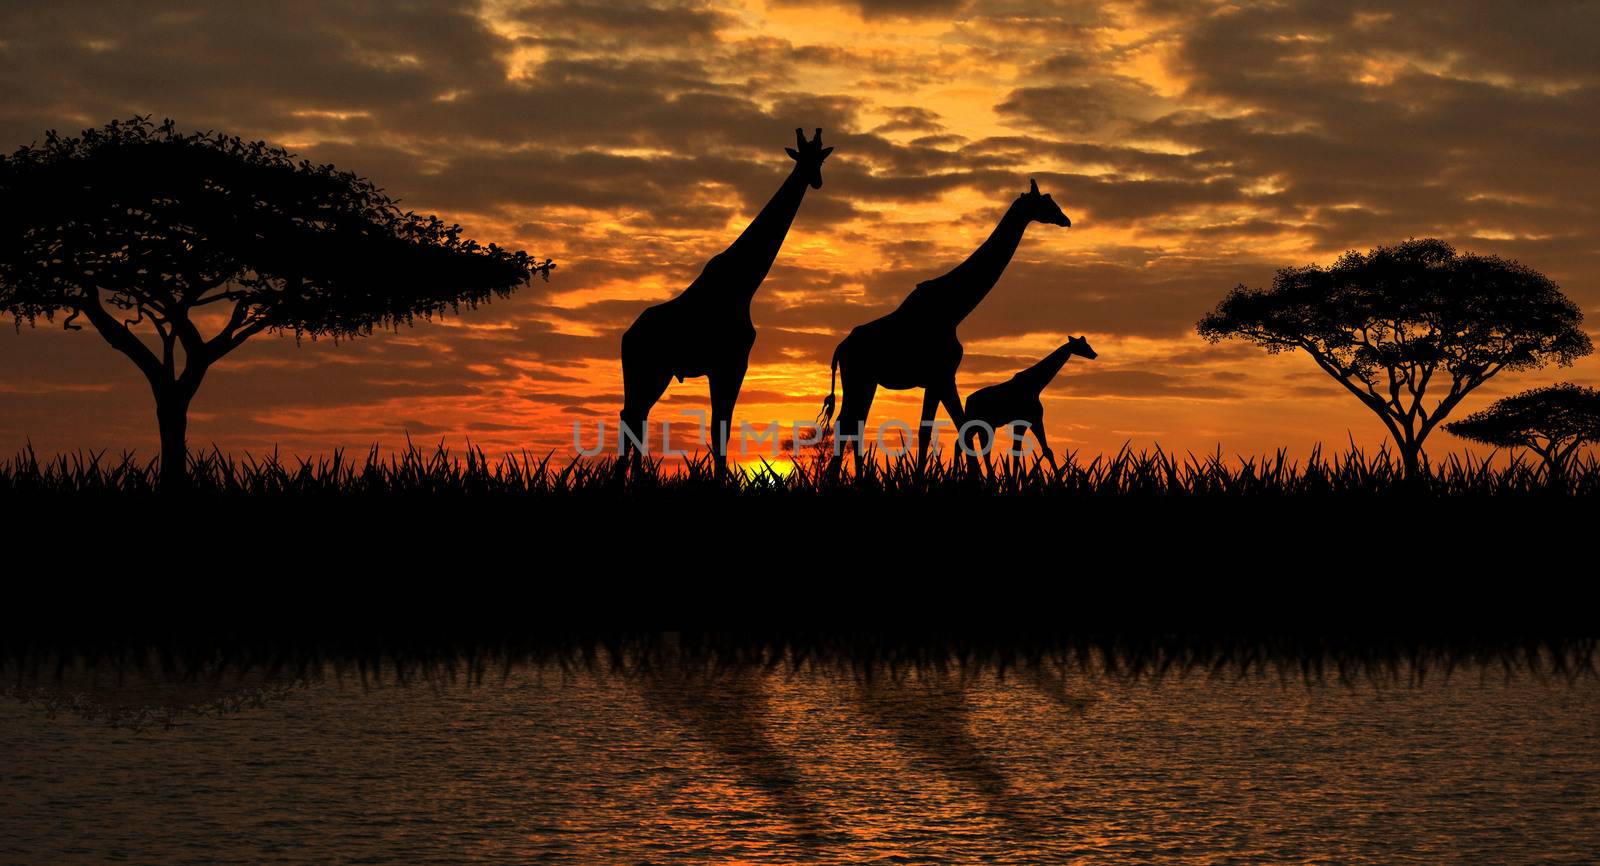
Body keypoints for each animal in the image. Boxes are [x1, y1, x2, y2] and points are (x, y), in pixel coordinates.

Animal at [617, 126, 832, 473]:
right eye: (803, 158)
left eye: (820, 159)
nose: (816, 181)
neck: (744, 284)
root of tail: (627, 336)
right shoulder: (731, 363)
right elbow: (721, 429)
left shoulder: (726, 365)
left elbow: (721, 428)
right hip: (646, 369)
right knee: (632, 416)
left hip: (653, 373)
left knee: (635, 416)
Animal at [819, 176, 1068, 473]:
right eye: (1046, 202)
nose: (1066, 220)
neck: (953, 309)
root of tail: (840, 349)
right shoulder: (943, 374)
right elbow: (956, 427)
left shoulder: (939, 378)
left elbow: (934, 429)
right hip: (859, 378)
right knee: (847, 424)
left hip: (864, 381)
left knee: (851, 424)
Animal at [960, 332, 1100, 473]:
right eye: (1083, 346)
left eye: (1088, 344)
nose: (1094, 354)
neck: (1035, 386)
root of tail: (968, 401)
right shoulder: (1031, 420)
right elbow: (1026, 450)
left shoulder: (1029, 421)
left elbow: (1040, 450)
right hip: (980, 423)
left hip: (985, 425)